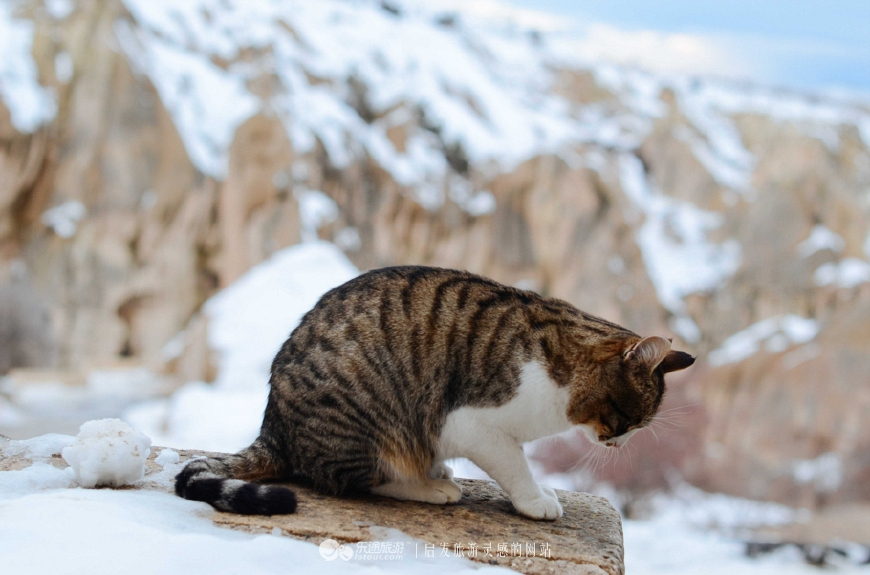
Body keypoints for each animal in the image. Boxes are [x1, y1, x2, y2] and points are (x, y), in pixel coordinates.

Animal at [175, 266, 696, 520]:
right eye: (628, 418)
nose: (619, 444)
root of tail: (274, 426)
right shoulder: (472, 423)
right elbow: (514, 465)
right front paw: (534, 500)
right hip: (372, 419)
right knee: (355, 478)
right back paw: (429, 485)